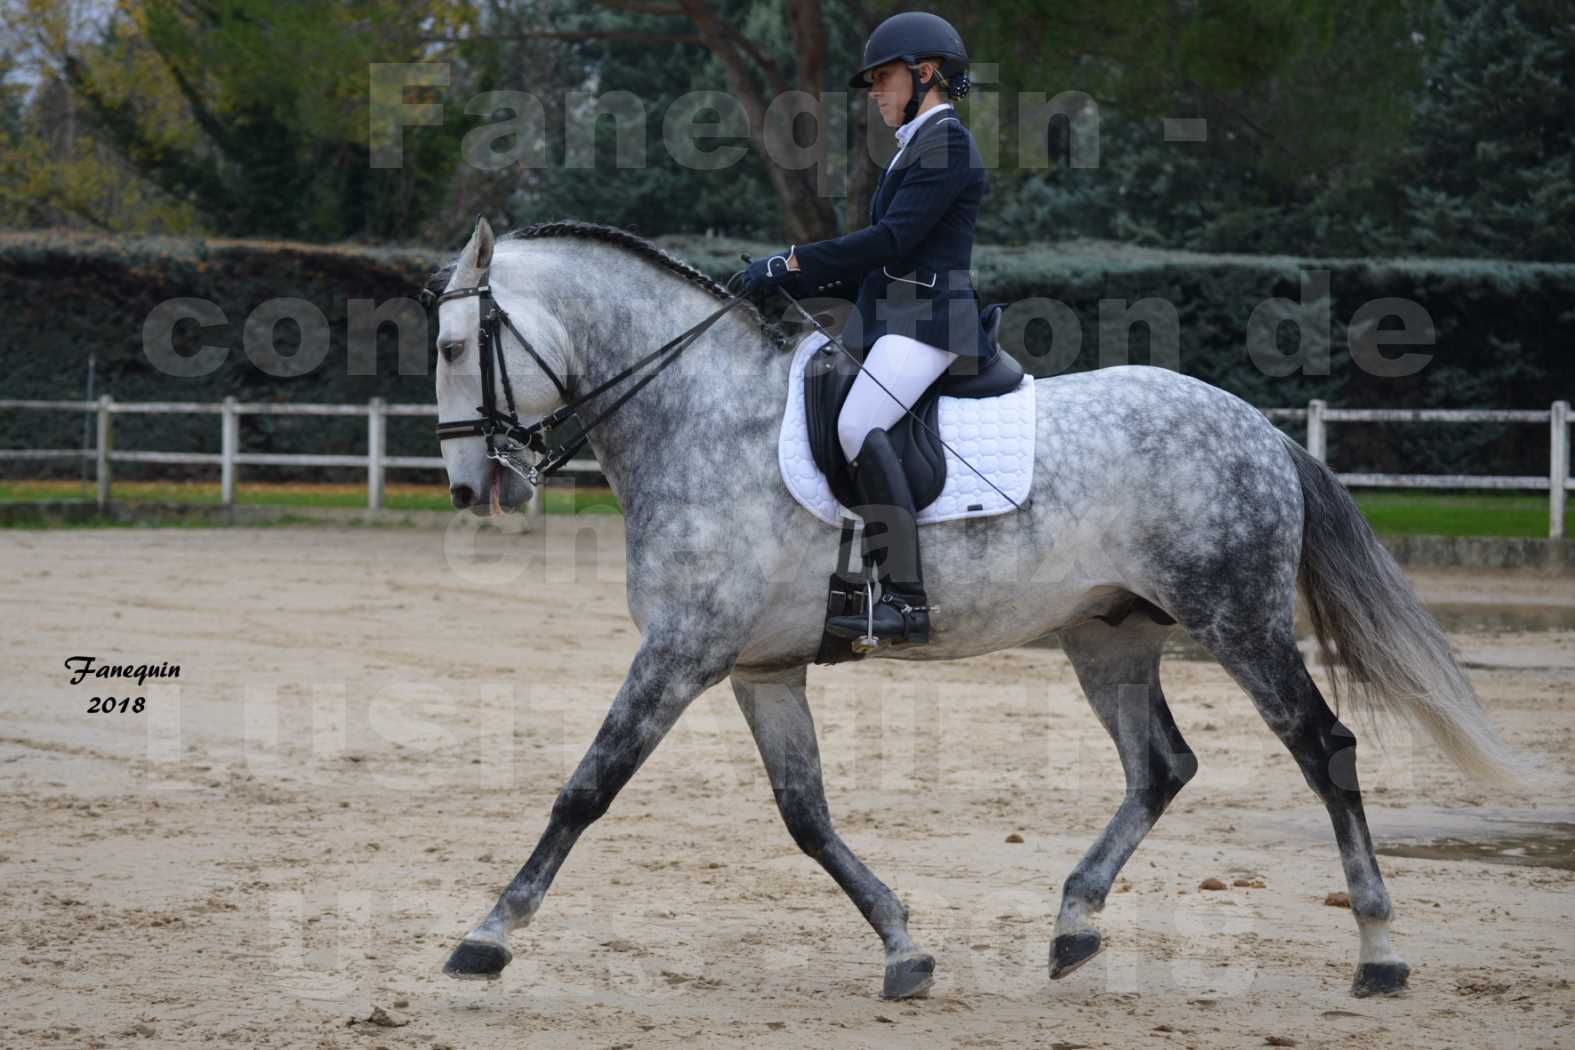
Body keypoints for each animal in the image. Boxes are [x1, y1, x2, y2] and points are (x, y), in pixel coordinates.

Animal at [425, 215, 1518, 1001]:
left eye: (450, 343)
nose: (475, 488)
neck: (699, 413)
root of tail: (1258, 428)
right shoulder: (757, 667)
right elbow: (806, 816)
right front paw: (904, 948)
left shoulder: (681, 652)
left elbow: (585, 789)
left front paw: (487, 936)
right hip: (1108, 638)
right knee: (1160, 766)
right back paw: (1074, 926)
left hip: (1237, 621)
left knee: (1322, 750)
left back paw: (1378, 952)